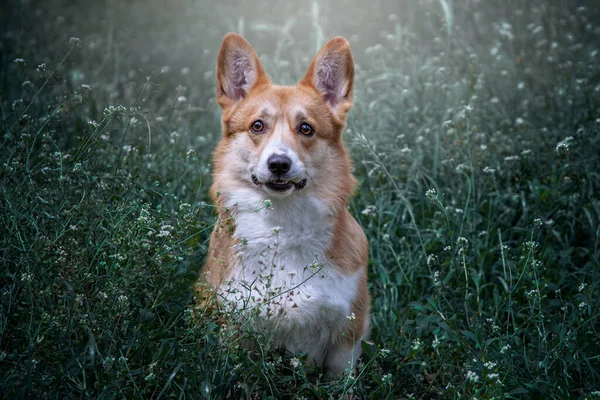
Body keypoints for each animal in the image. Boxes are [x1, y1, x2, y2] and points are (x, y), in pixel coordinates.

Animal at [202, 33, 370, 376]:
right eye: (257, 126)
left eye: (306, 128)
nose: (279, 163)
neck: (282, 225)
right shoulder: (233, 329)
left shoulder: (346, 335)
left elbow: (341, 378)